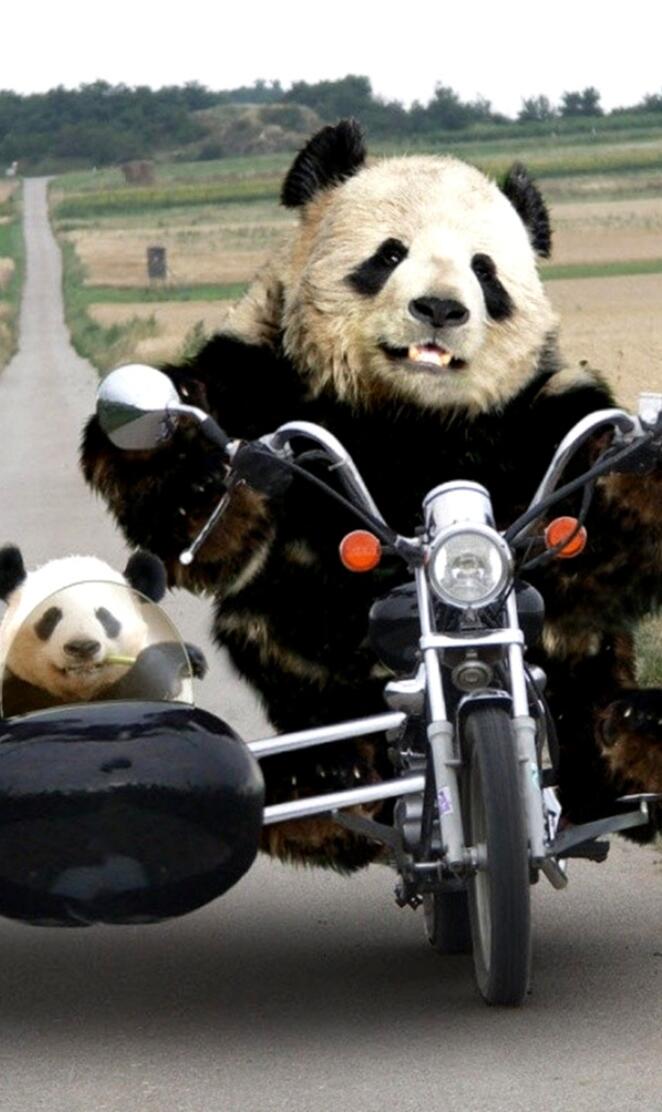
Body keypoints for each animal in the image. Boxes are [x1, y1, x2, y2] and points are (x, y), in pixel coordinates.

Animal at [81, 119, 662, 871]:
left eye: (484, 270)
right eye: (389, 255)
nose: (439, 309)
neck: (410, 418)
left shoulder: (530, 417)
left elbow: (601, 529)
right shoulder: (267, 374)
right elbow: (192, 469)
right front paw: (198, 474)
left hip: (581, 674)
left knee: (596, 706)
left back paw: (637, 743)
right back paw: (324, 786)